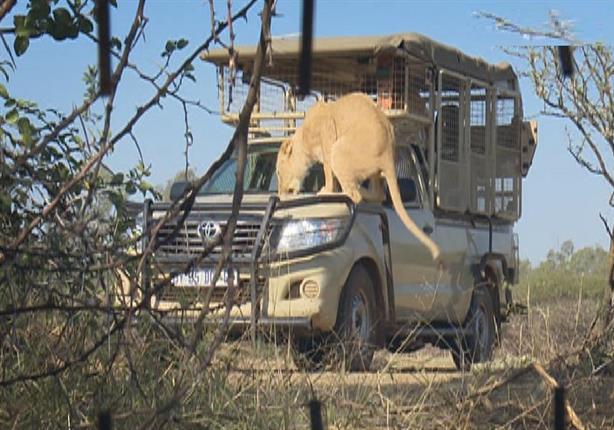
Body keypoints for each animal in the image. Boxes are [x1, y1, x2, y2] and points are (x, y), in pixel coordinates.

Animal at [276, 92, 442, 260]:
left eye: (278, 173)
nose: (280, 193)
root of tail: (388, 153)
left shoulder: (327, 137)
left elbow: (328, 173)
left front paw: (327, 190)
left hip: (339, 150)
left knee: (355, 196)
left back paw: (343, 193)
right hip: (374, 171)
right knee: (379, 194)